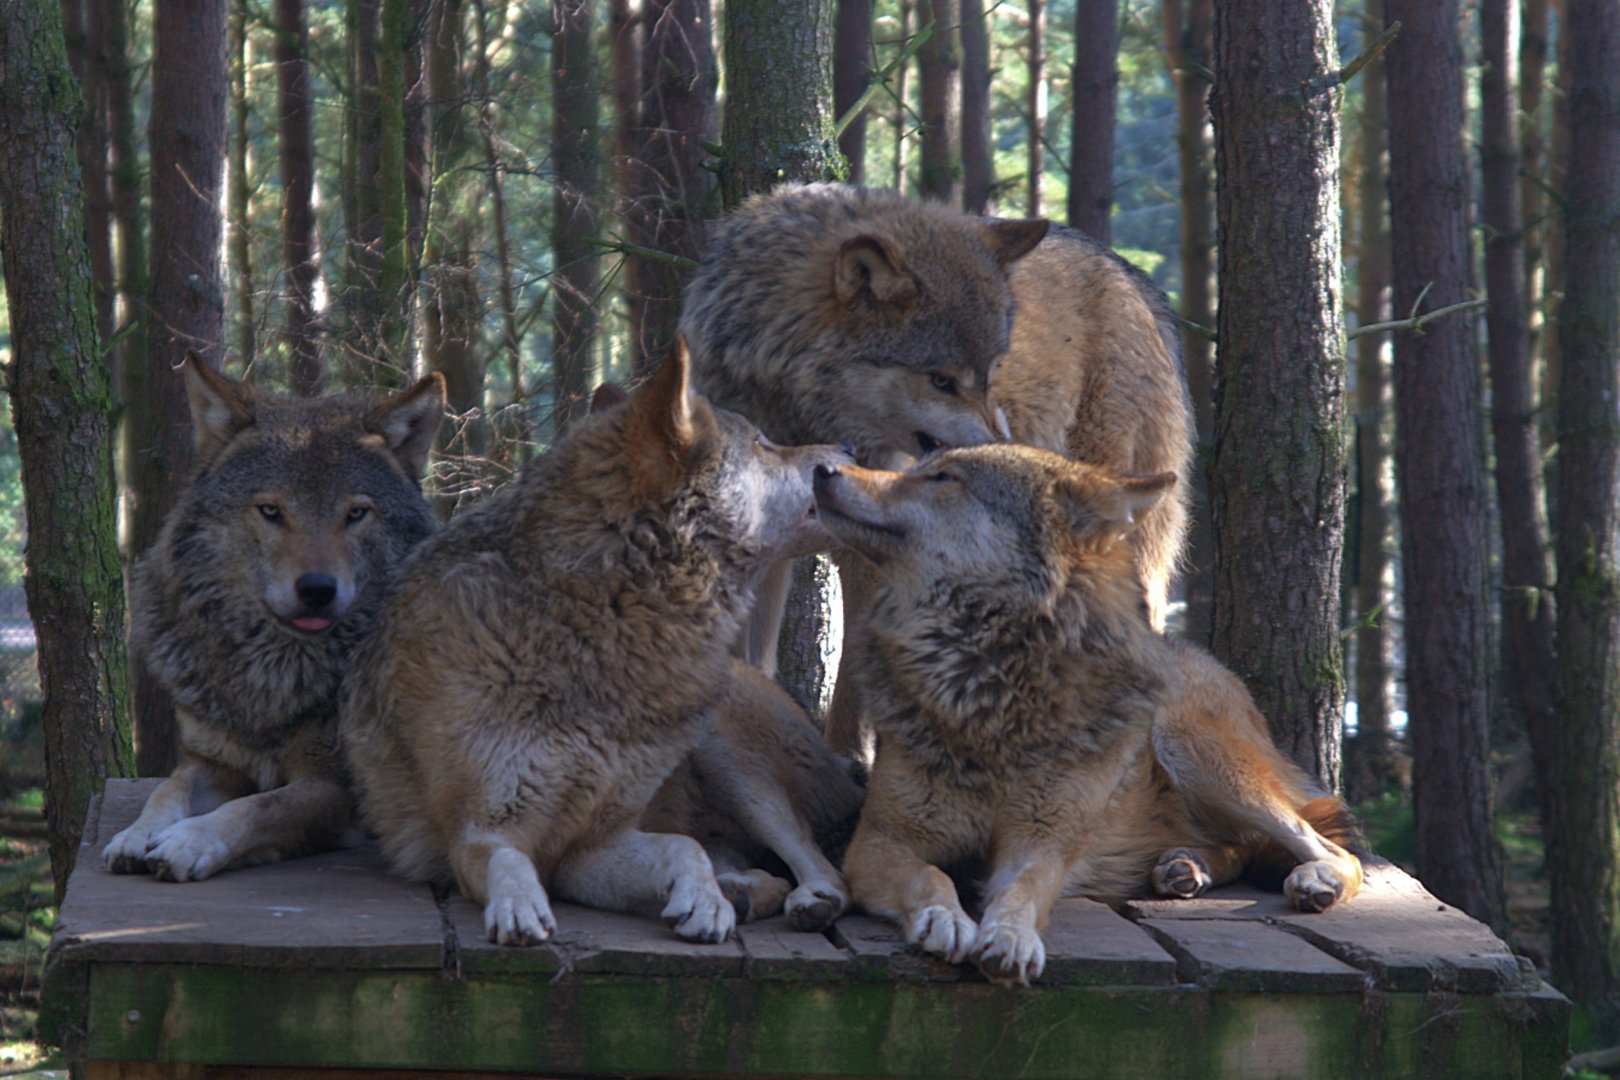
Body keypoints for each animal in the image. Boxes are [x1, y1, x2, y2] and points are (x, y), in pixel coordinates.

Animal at [102, 356, 445, 882]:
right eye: (270, 510)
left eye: (356, 513)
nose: (318, 590)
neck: (275, 678)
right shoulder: (211, 761)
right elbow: (165, 792)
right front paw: (134, 836)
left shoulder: (336, 786)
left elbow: (260, 807)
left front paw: (187, 841)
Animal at [340, 343, 852, 945]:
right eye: (762, 443)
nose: (847, 449)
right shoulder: (495, 837)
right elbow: (511, 862)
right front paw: (519, 909)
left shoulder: (588, 844)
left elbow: (685, 848)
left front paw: (705, 902)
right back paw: (744, 892)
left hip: (725, 747)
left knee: (825, 871)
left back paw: (794, 898)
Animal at [679, 183, 1192, 753]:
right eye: (942, 381)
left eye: (992, 373)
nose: (1005, 452)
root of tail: (1128, 274)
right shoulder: (761, 556)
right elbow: (753, 669)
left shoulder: (870, 560)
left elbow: (852, 697)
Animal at [812, 445, 1364, 985]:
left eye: (943, 478)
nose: (823, 468)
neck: (991, 694)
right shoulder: (877, 842)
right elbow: (933, 875)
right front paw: (945, 918)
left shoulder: (1042, 845)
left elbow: (1022, 893)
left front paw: (1010, 939)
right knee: (1243, 846)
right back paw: (1185, 867)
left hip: (1192, 748)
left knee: (1331, 848)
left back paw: (1312, 879)